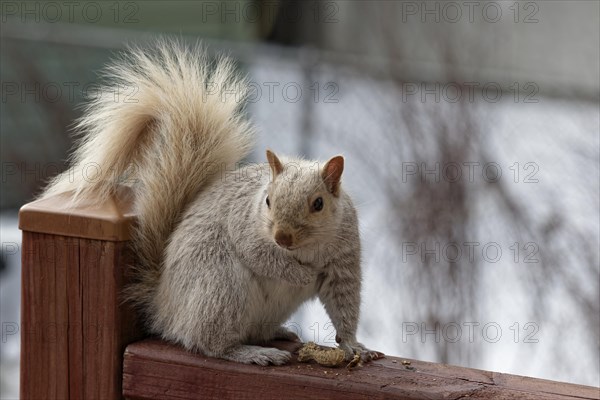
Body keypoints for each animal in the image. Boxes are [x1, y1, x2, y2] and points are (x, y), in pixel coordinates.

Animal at [42, 39, 382, 366]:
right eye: (268, 200)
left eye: (318, 204)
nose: (282, 238)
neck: (306, 249)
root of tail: (164, 307)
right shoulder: (245, 228)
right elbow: (264, 258)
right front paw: (304, 276)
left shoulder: (345, 257)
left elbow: (344, 304)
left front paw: (353, 345)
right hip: (221, 288)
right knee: (210, 344)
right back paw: (252, 353)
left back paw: (277, 334)